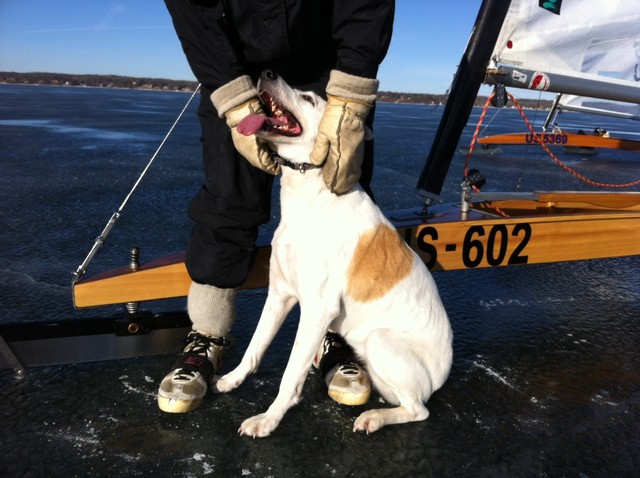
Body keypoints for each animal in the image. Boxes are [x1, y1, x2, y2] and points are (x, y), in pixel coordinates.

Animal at [212, 70, 452, 436]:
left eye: (309, 98)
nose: (267, 73)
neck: (310, 197)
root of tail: (442, 375)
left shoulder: (316, 309)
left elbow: (289, 375)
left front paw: (269, 419)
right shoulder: (279, 295)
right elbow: (256, 345)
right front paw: (234, 379)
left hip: (380, 342)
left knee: (419, 410)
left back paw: (373, 417)